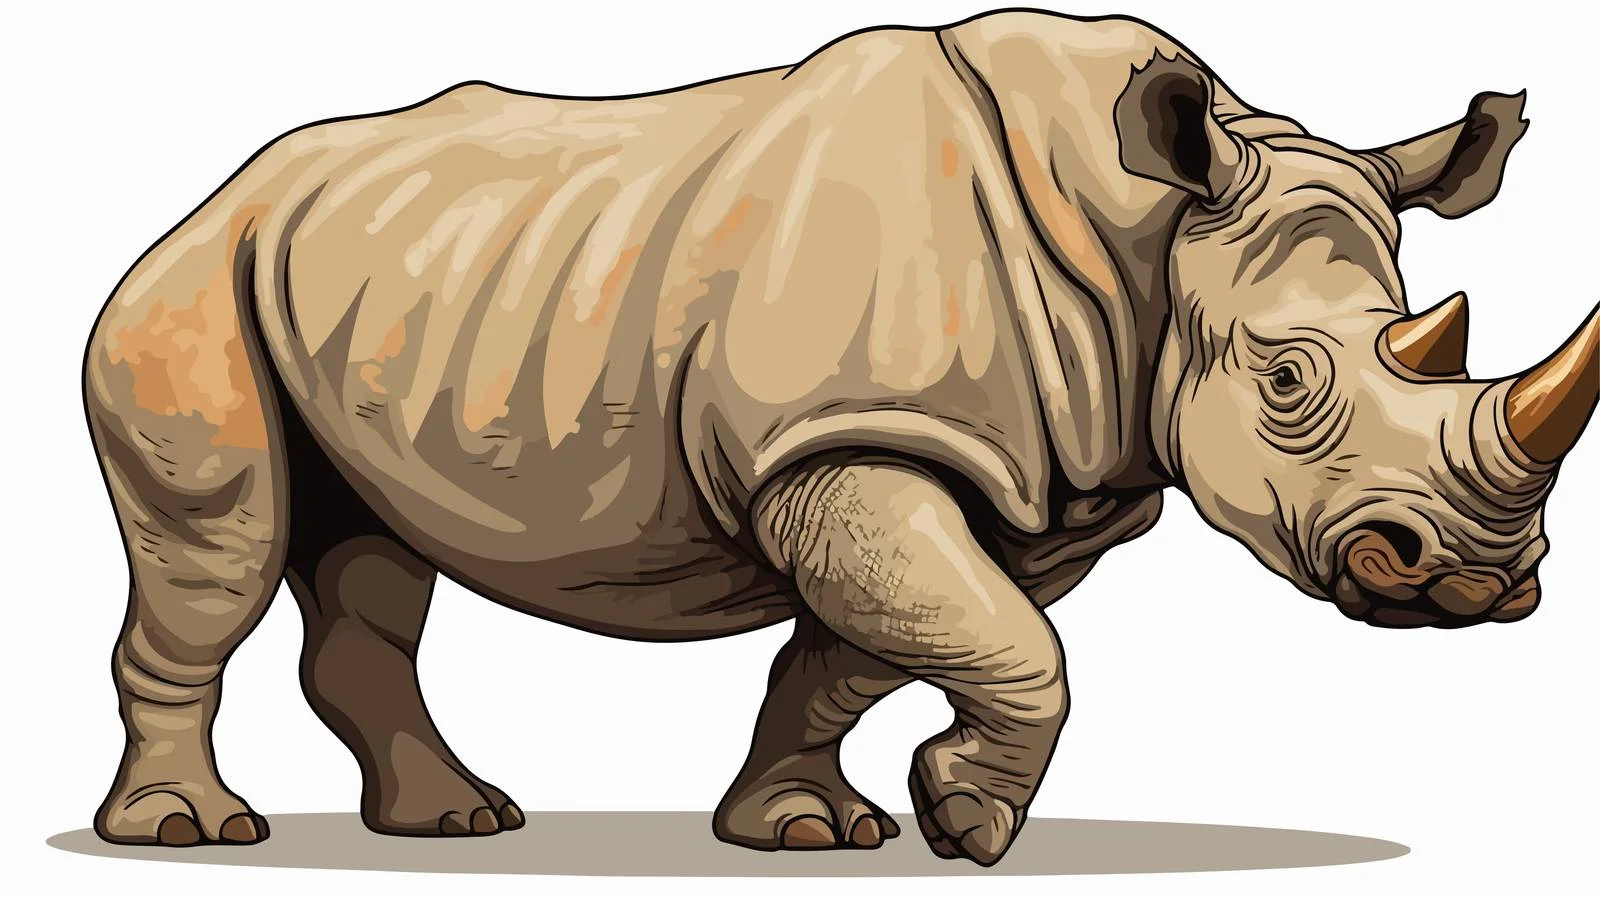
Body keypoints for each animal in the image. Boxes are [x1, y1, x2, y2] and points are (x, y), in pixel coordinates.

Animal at [82, 9, 1597, 866]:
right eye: (1287, 380)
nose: (1474, 582)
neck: (1152, 234)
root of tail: (222, 187)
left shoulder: (1019, 483)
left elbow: (877, 652)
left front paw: (819, 829)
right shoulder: (849, 438)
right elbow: (1008, 648)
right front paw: (966, 827)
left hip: (370, 286)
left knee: (370, 551)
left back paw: (455, 822)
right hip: (190, 290)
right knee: (221, 551)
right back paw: (191, 835)